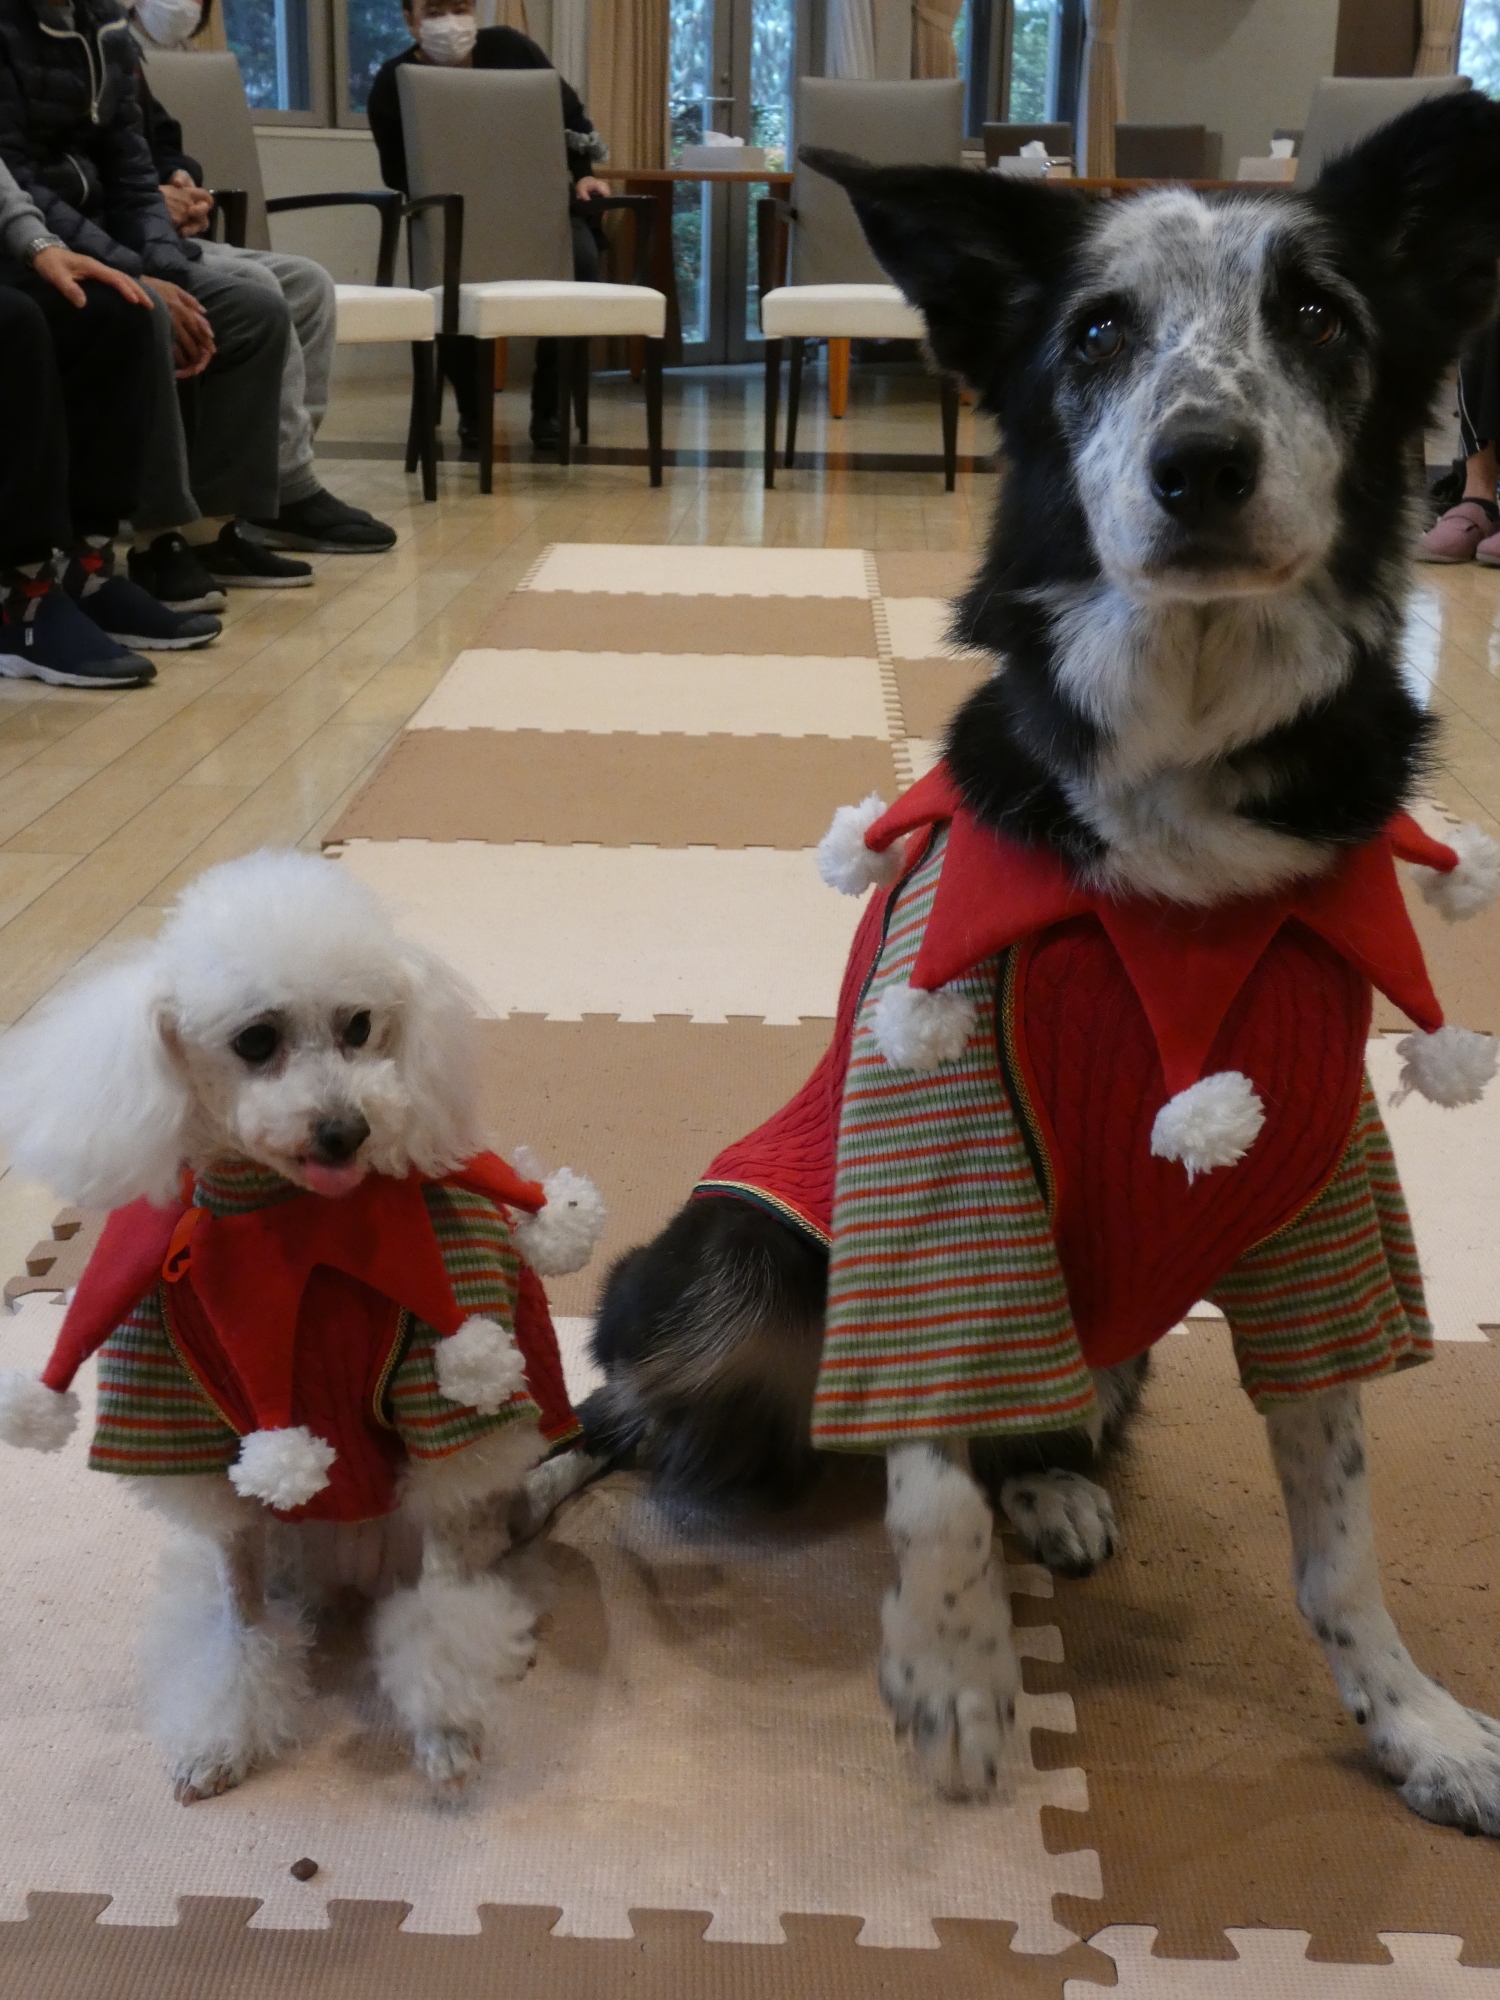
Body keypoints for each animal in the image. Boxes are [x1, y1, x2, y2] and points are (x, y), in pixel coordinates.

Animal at [580, 101, 1500, 1832]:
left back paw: (1060, 1491)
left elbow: (1337, 1534)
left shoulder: (1321, 1193)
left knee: (1041, 1422)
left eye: (1320, 315)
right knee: (706, 1400)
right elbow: (931, 1467)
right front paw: (952, 1669)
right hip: (739, 1259)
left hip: (1113, 1336)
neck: (1181, 776)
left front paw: (1413, 1720)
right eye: (1094, 332)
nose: (1199, 462)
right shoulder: (940, 1153)